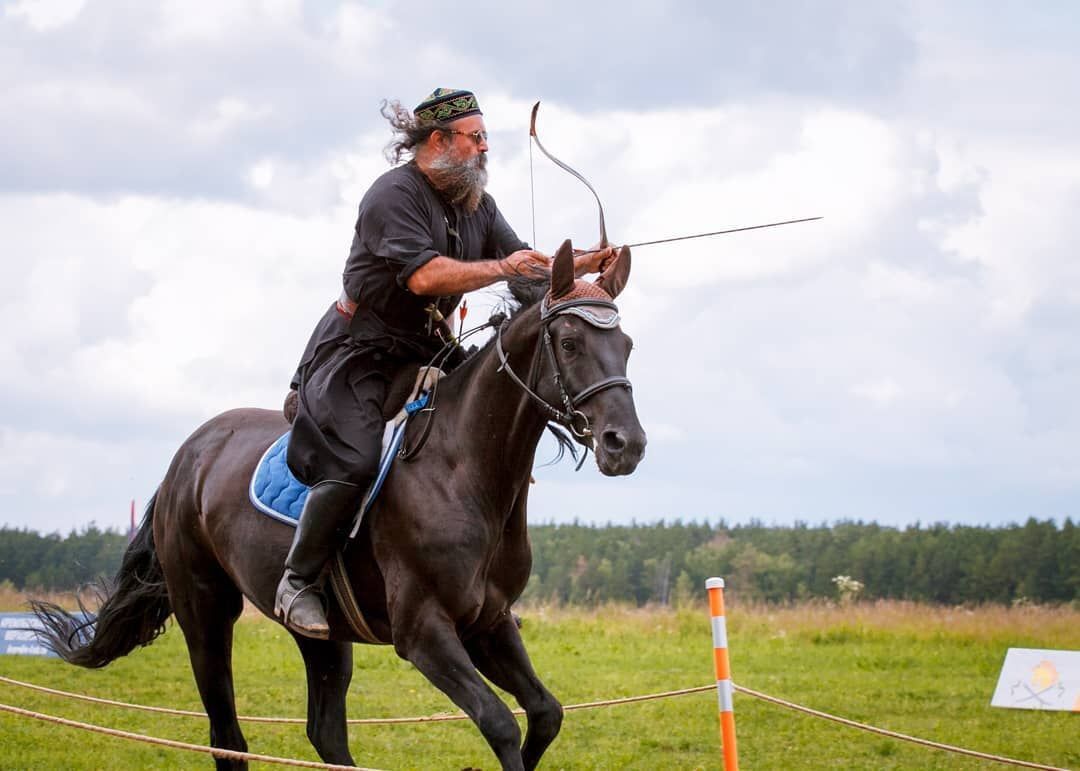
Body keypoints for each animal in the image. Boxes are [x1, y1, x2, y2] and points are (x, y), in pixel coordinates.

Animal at [29, 237, 643, 764]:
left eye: (627, 346)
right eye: (570, 343)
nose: (626, 444)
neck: (464, 470)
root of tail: (190, 454)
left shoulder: (489, 623)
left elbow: (545, 713)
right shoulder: (425, 633)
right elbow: (499, 722)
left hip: (322, 637)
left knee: (325, 733)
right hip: (205, 609)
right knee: (227, 738)